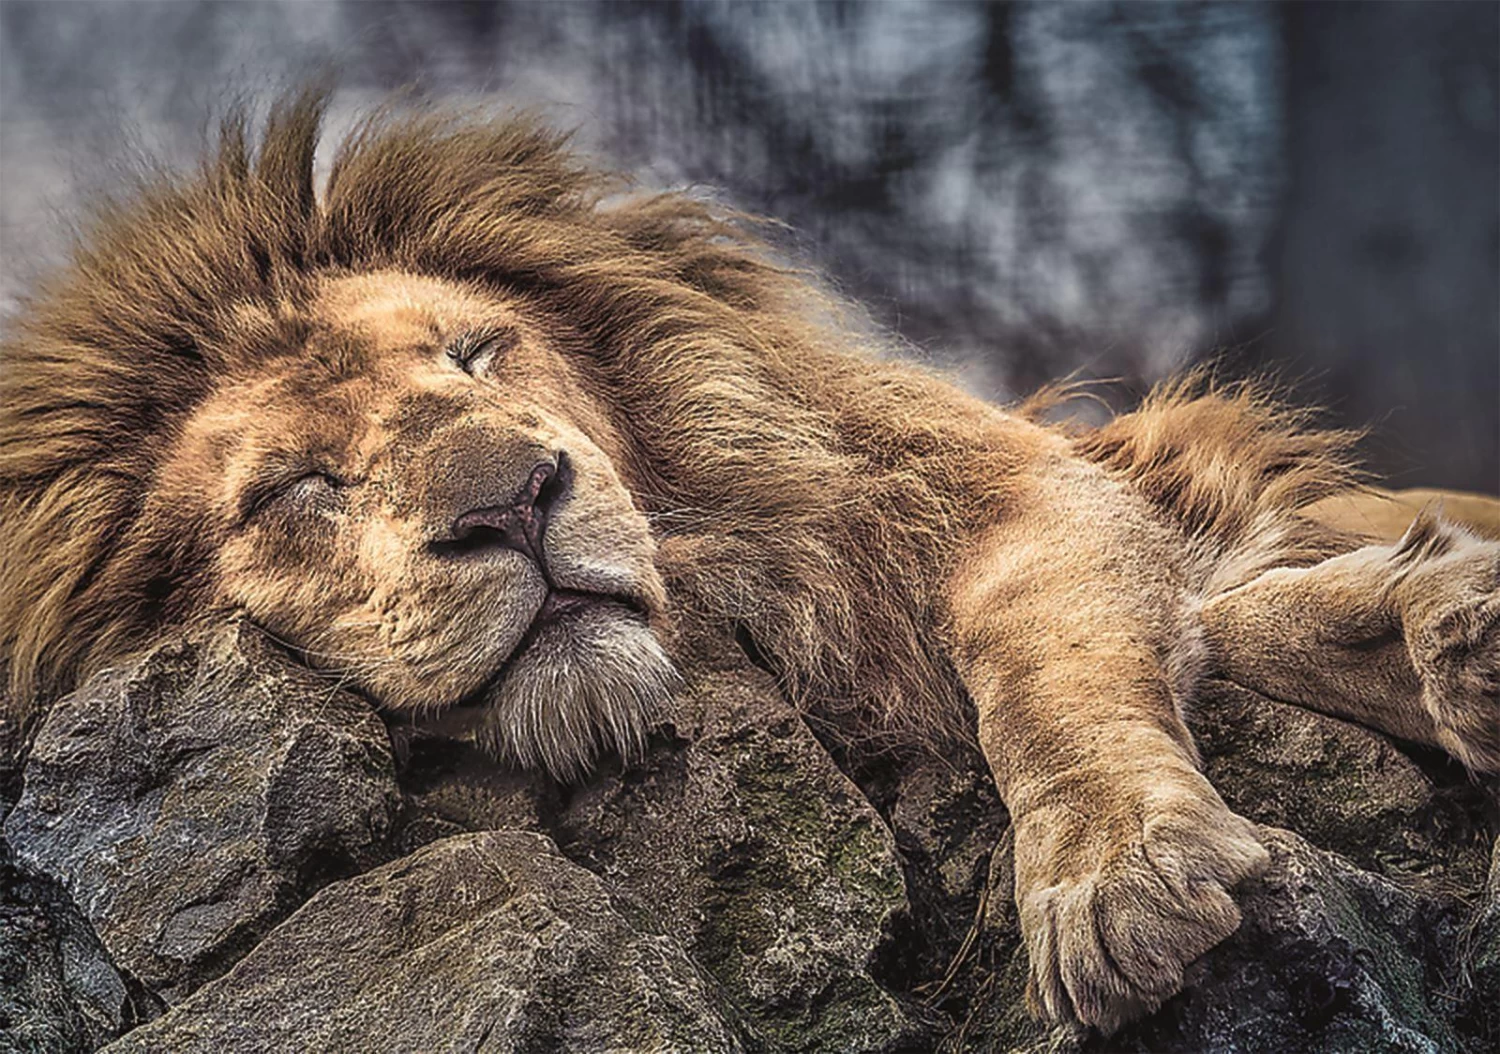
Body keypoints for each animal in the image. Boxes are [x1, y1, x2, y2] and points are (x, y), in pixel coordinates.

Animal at [1, 92, 1496, 1034]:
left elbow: (1046, 660)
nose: (517, 500)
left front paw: (1115, 868)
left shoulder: (1009, 489)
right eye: (297, 487)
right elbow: (1228, 613)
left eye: (477, 353)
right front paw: (1425, 628)